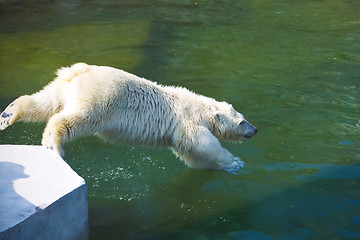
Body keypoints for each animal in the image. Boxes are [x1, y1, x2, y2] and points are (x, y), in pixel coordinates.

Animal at [1, 62, 258, 171]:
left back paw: (9, 113)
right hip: (100, 100)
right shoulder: (188, 123)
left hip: (64, 86)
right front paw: (235, 163)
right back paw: (54, 145)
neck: (202, 108)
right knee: (72, 120)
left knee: (46, 101)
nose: (255, 130)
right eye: (242, 121)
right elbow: (203, 145)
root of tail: (79, 71)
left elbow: (192, 155)